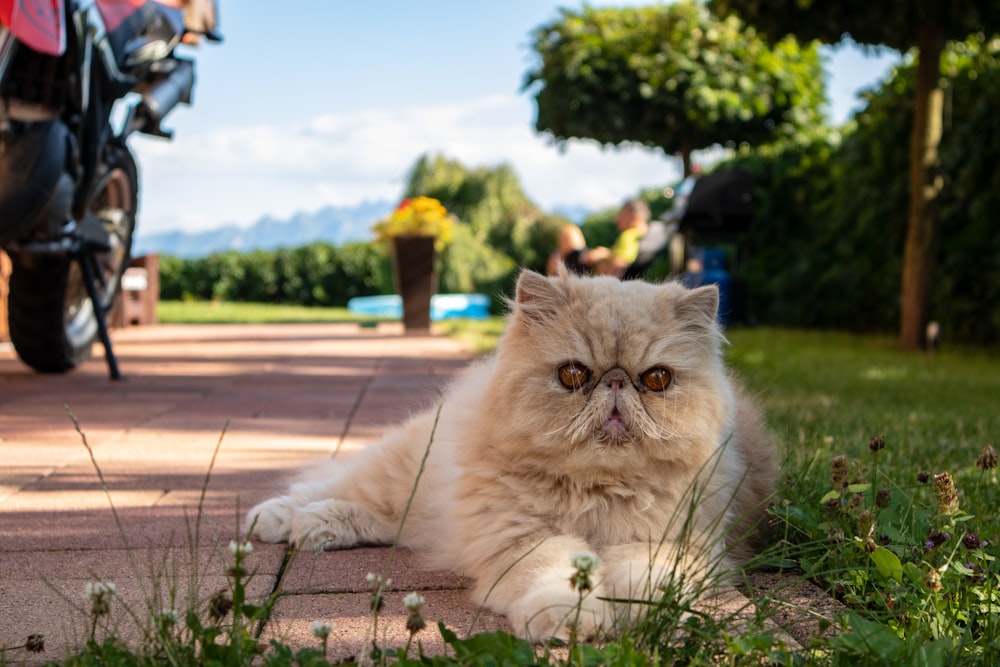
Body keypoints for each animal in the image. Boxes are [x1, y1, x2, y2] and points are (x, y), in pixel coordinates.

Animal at [246, 268, 776, 640]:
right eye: (573, 375)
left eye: (657, 379)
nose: (615, 382)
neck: (599, 492)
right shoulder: (525, 539)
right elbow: (556, 579)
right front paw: (568, 621)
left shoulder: (670, 545)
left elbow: (646, 581)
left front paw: (641, 616)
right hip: (402, 470)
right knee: (327, 488)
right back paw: (278, 522)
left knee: (386, 520)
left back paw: (313, 528)